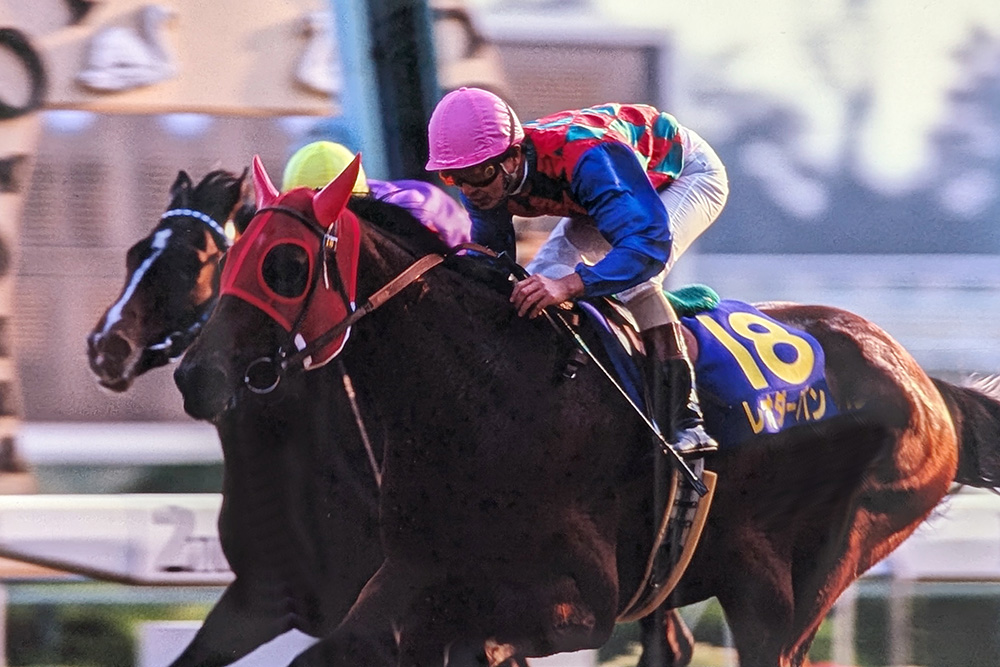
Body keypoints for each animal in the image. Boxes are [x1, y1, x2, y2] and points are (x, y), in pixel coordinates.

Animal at [173, 156, 1000, 667]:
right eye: (231, 257)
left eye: (285, 265)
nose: (194, 374)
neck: (481, 398)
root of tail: (926, 382)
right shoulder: (411, 581)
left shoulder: (575, 604)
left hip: (815, 567)